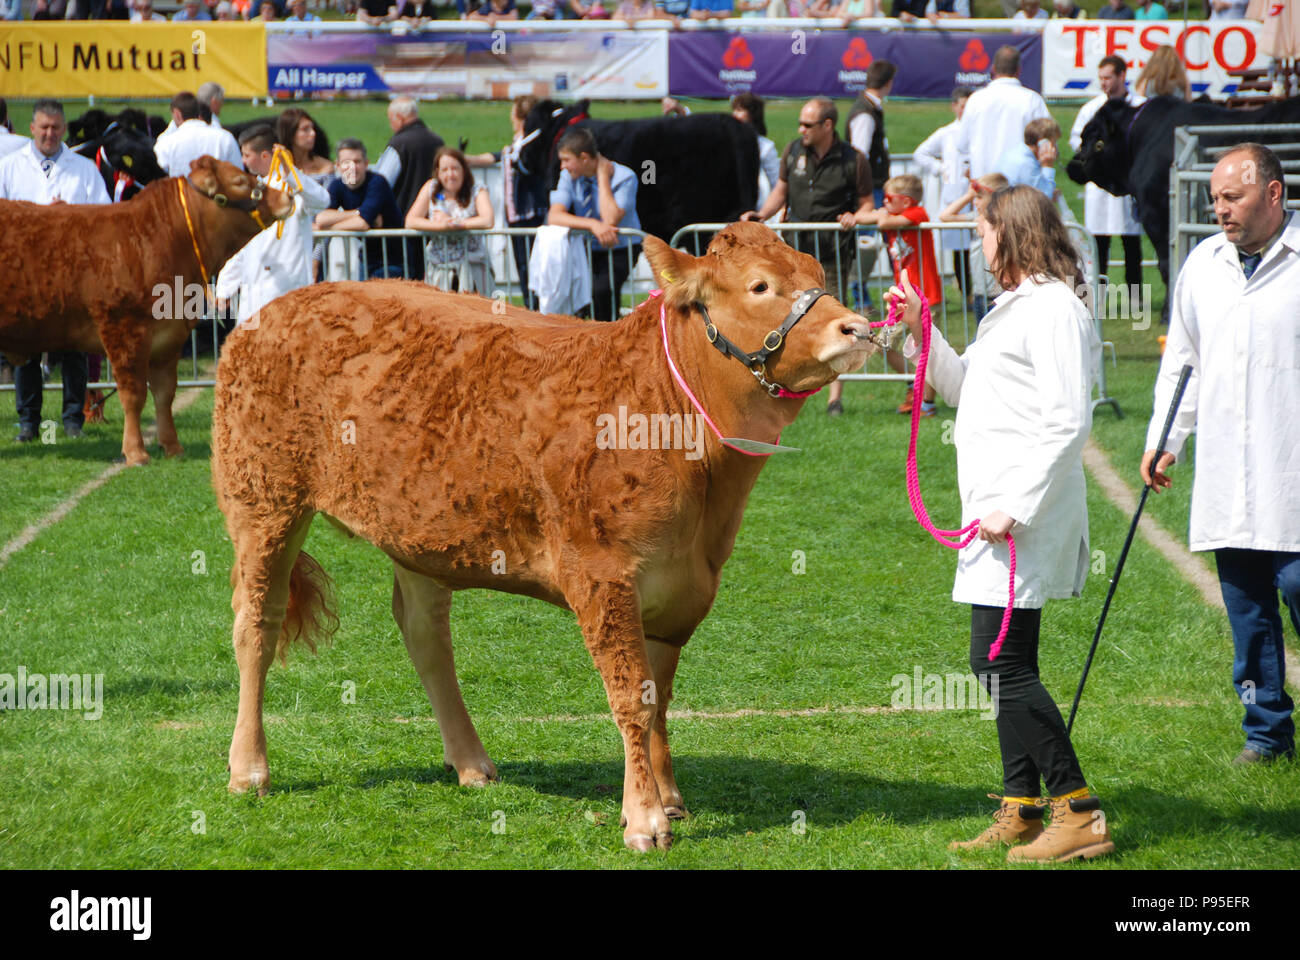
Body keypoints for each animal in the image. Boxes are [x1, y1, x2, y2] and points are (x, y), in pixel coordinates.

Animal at [0, 156, 289, 463]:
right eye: (239, 181)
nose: (287, 196)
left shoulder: (169, 336)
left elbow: (164, 393)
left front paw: (172, 446)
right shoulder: (124, 329)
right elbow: (134, 395)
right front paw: (135, 451)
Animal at [213, 221, 878, 848]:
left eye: (817, 270)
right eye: (760, 286)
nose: (860, 328)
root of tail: (273, 309)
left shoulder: (682, 588)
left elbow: (658, 697)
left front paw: (669, 797)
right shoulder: (602, 574)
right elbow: (631, 697)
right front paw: (644, 818)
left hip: (414, 529)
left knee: (424, 634)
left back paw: (472, 763)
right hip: (263, 499)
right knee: (256, 624)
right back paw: (249, 769)